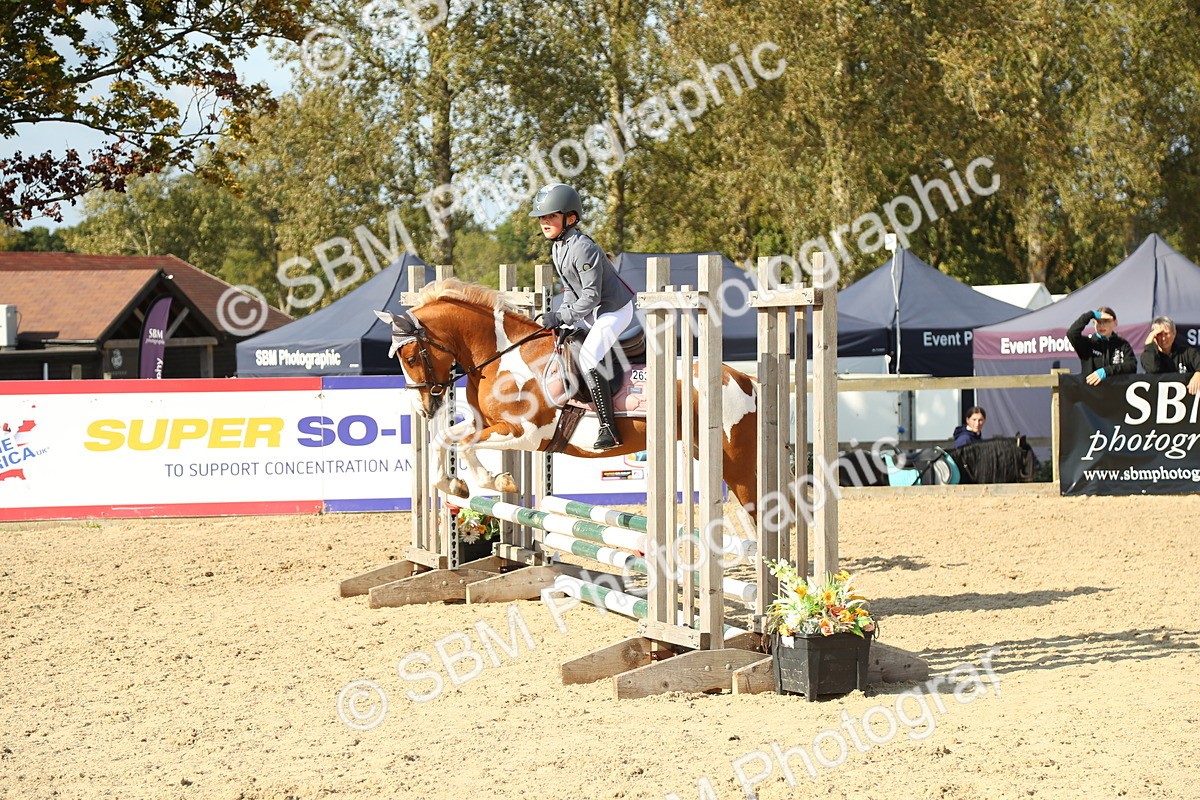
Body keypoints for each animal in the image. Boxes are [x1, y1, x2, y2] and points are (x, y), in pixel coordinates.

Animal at [375, 279, 760, 521]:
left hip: (737, 466)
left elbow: (467, 445)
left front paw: (499, 481)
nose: (424, 408)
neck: (503, 355)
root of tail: (744, 379)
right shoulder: (488, 423)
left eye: (410, 357)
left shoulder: (527, 434)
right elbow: (445, 439)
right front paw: (453, 483)